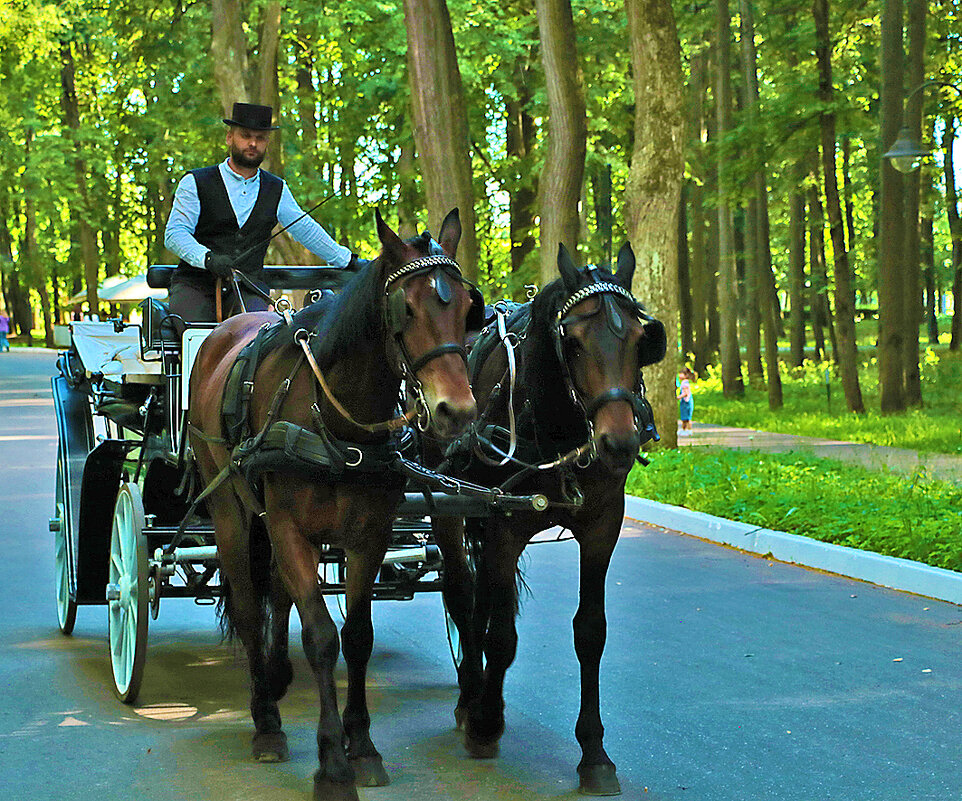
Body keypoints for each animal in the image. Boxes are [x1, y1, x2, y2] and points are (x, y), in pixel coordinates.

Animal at [187, 209, 476, 800]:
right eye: (406, 309)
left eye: (465, 307)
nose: (456, 411)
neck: (337, 418)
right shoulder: (290, 528)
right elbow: (321, 636)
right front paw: (332, 765)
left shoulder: (370, 534)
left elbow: (358, 636)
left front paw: (361, 746)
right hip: (231, 510)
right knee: (248, 607)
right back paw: (265, 719)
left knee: (275, 594)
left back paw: (277, 676)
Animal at [434, 242, 664, 792]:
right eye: (573, 342)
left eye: (640, 339)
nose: (619, 442)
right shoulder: (502, 524)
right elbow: (500, 633)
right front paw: (486, 722)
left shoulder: (603, 525)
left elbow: (590, 632)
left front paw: (594, 752)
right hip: (451, 508)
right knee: (463, 597)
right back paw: (470, 699)